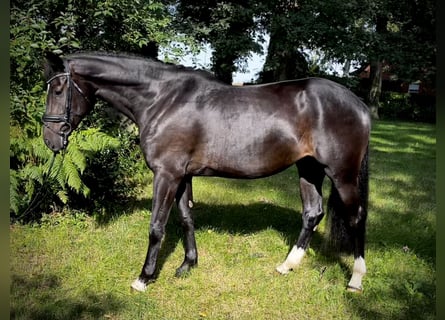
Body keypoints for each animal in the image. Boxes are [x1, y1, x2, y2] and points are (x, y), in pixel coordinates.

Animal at [41, 52, 370, 292]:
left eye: (58, 89)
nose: (50, 139)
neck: (162, 98)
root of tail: (359, 104)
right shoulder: (182, 175)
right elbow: (186, 218)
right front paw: (188, 265)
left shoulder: (166, 175)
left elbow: (157, 227)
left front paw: (144, 278)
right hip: (309, 169)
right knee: (312, 214)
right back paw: (287, 265)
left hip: (341, 174)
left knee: (356, 217)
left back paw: (355, 278)